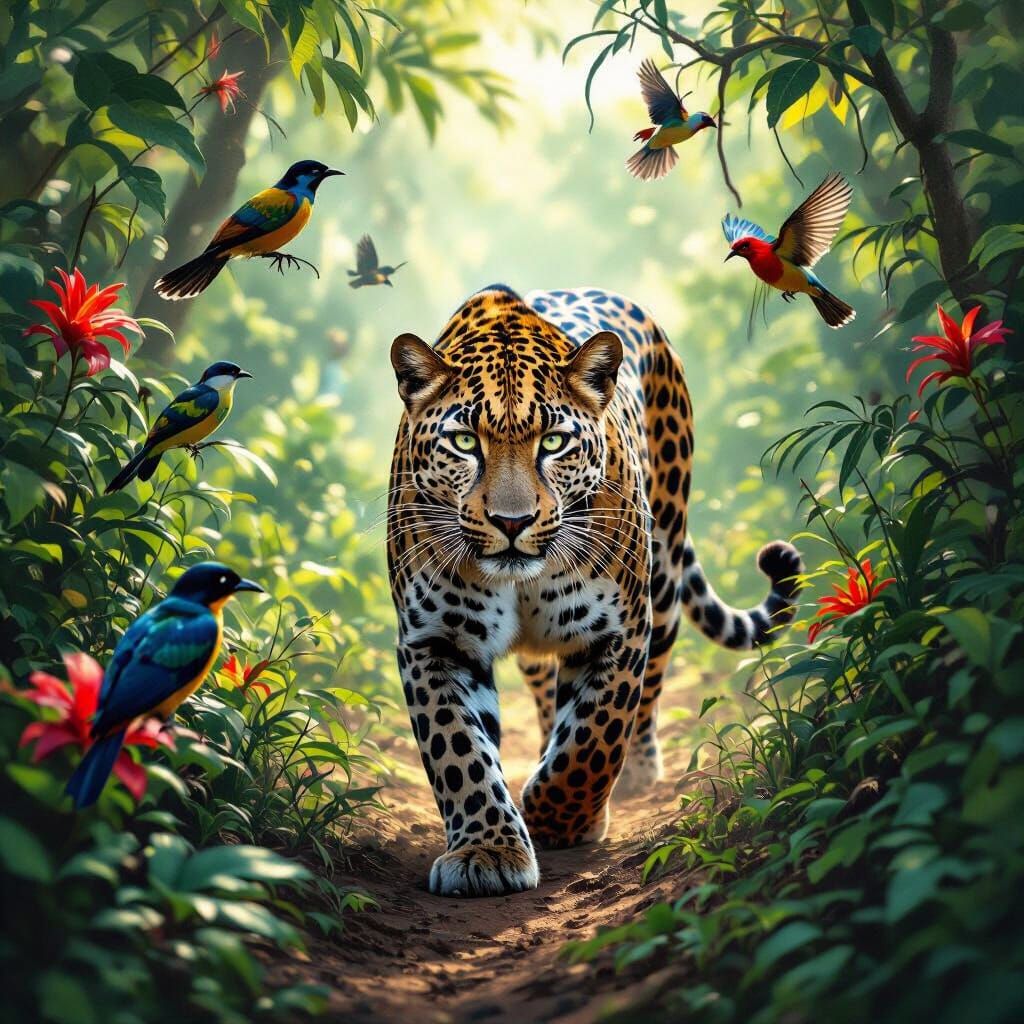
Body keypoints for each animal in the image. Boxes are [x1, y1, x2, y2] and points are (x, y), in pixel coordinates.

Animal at [386, 284, 803, 898]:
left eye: (554, 442)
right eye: (464, 442)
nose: (512, 522)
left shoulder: (617, 630)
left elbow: (594, 740)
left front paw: (556, 819)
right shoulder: (434, 641)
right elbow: (458, 752)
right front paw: (488, 851)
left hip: (665, 577)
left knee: (647, 693)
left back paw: (635, 775)